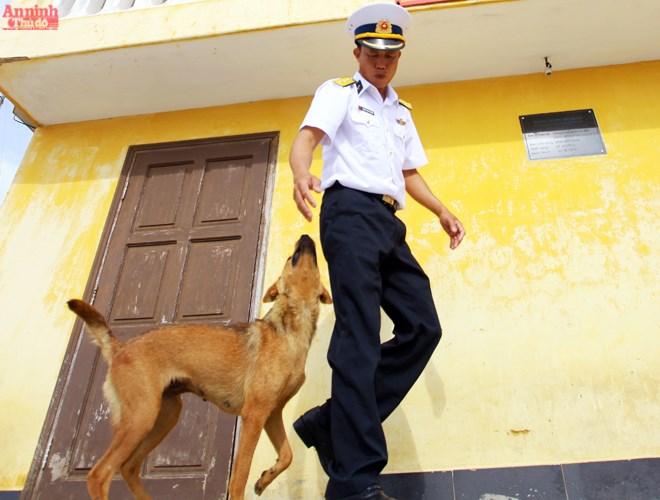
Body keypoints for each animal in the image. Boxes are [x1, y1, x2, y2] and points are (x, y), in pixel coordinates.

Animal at [68, 234, 332, 500]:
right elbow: (239, 478)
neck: (290, 330)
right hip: (140, 417)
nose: (306, 237)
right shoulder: (254, 414)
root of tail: (120, 347)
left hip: (163, 416)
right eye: (290, 257)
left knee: (128, 467)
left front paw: (265, 478)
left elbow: (287, 455)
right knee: (99, 475)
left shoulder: (272, 413)